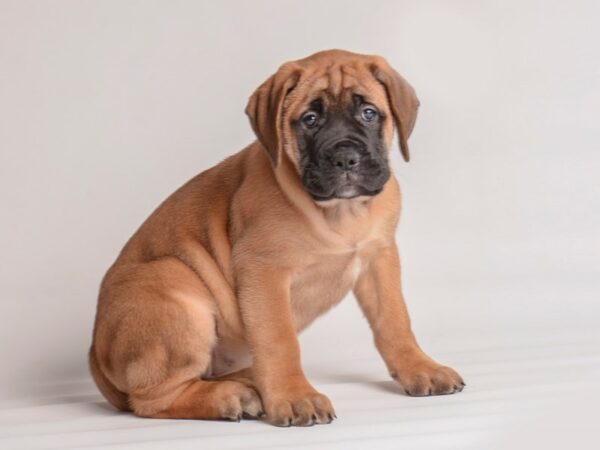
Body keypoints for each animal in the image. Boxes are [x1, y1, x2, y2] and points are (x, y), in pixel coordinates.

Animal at [88, 48, 464, 426]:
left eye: (369, 113)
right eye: (310, 120)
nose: (345, 158)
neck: (341, 212)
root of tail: (94, 354)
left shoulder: (379, 258)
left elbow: (395, 320)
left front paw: (420, 367)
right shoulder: (264, 271)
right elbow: (279, 340)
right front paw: (296, 397)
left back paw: (248, 381)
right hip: (173, 281)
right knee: (151, 400)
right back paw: (231, 396)